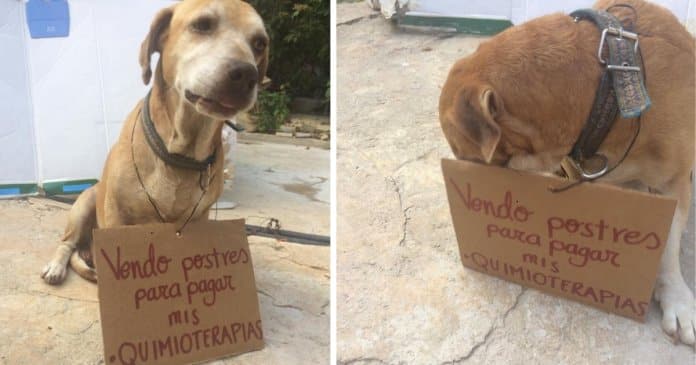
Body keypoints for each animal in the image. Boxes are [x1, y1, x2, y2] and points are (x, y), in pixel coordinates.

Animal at [42, 0, 268, 284]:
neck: (181, 151)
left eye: (259, 43)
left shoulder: (199, 219)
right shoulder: (116, 216)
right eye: (203, 24)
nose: (246, 74)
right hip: (85, 204)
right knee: (67, 242)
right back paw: (57, 265)